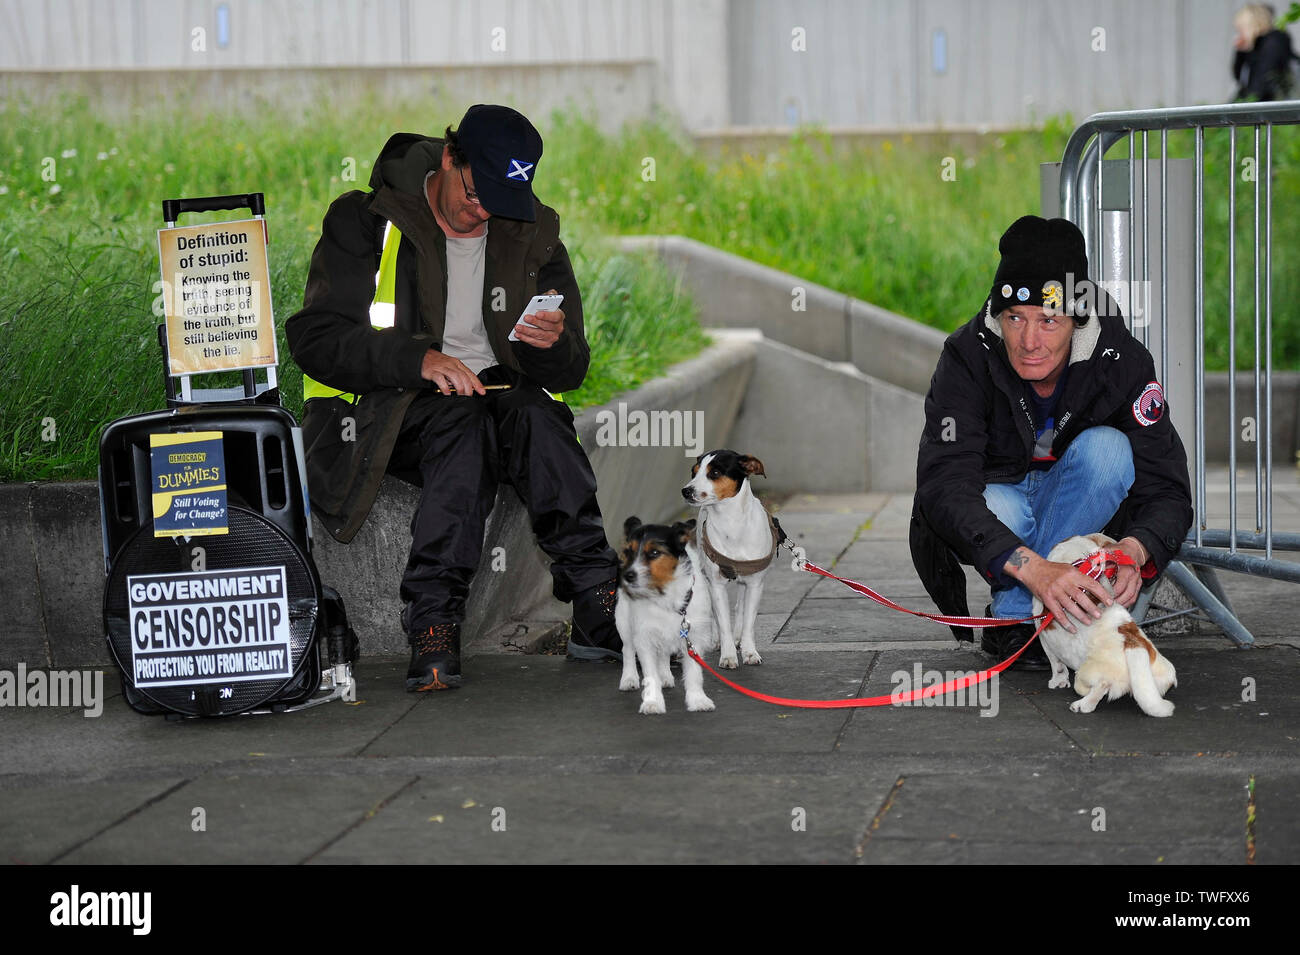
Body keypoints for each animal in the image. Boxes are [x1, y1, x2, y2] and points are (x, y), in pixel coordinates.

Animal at [611, 519, 717, 712]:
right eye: (628, 552)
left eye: (654, 552)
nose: (628, 576)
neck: (665, 597)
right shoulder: (644, 638)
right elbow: (650, 674)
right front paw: (652, 702)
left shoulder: (693, 638)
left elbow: (694, 674)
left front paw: (698, 700)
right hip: (623, 621)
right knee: (627, 650)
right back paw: (629, 678)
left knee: (663, 653)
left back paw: (665, 675)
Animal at [681, 449, 780, 670]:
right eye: (693, 472)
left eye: (715, 472)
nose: (686, 491)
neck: (731, 523)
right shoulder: (716, 584)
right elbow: (723, 621)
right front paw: (727, 656)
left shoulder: (755, 584)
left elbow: (749, 621)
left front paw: (749, 651)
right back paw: (718, 640)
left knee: (740, 608)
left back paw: (738, 638)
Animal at [1034, 530, 1180, 717]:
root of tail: (1134, 643)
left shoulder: (1044, 637)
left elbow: (1056, 664)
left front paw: (1058, 681)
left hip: (1088, 672)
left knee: (1101, 685)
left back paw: (1082, 704)